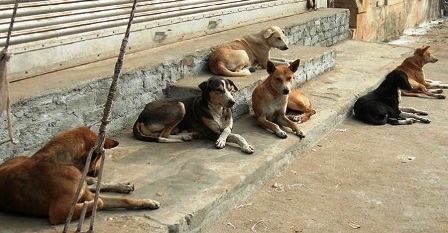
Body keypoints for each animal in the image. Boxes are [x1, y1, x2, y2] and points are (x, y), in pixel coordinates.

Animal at [0, 126, 160, 225]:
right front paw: (87, 211)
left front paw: (147, 202)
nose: (98, 171)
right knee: (93, 185)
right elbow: (99, 202)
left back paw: (122, 186)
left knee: (93, 183)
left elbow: (122, 200)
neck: (67, 162)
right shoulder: (59, 212)